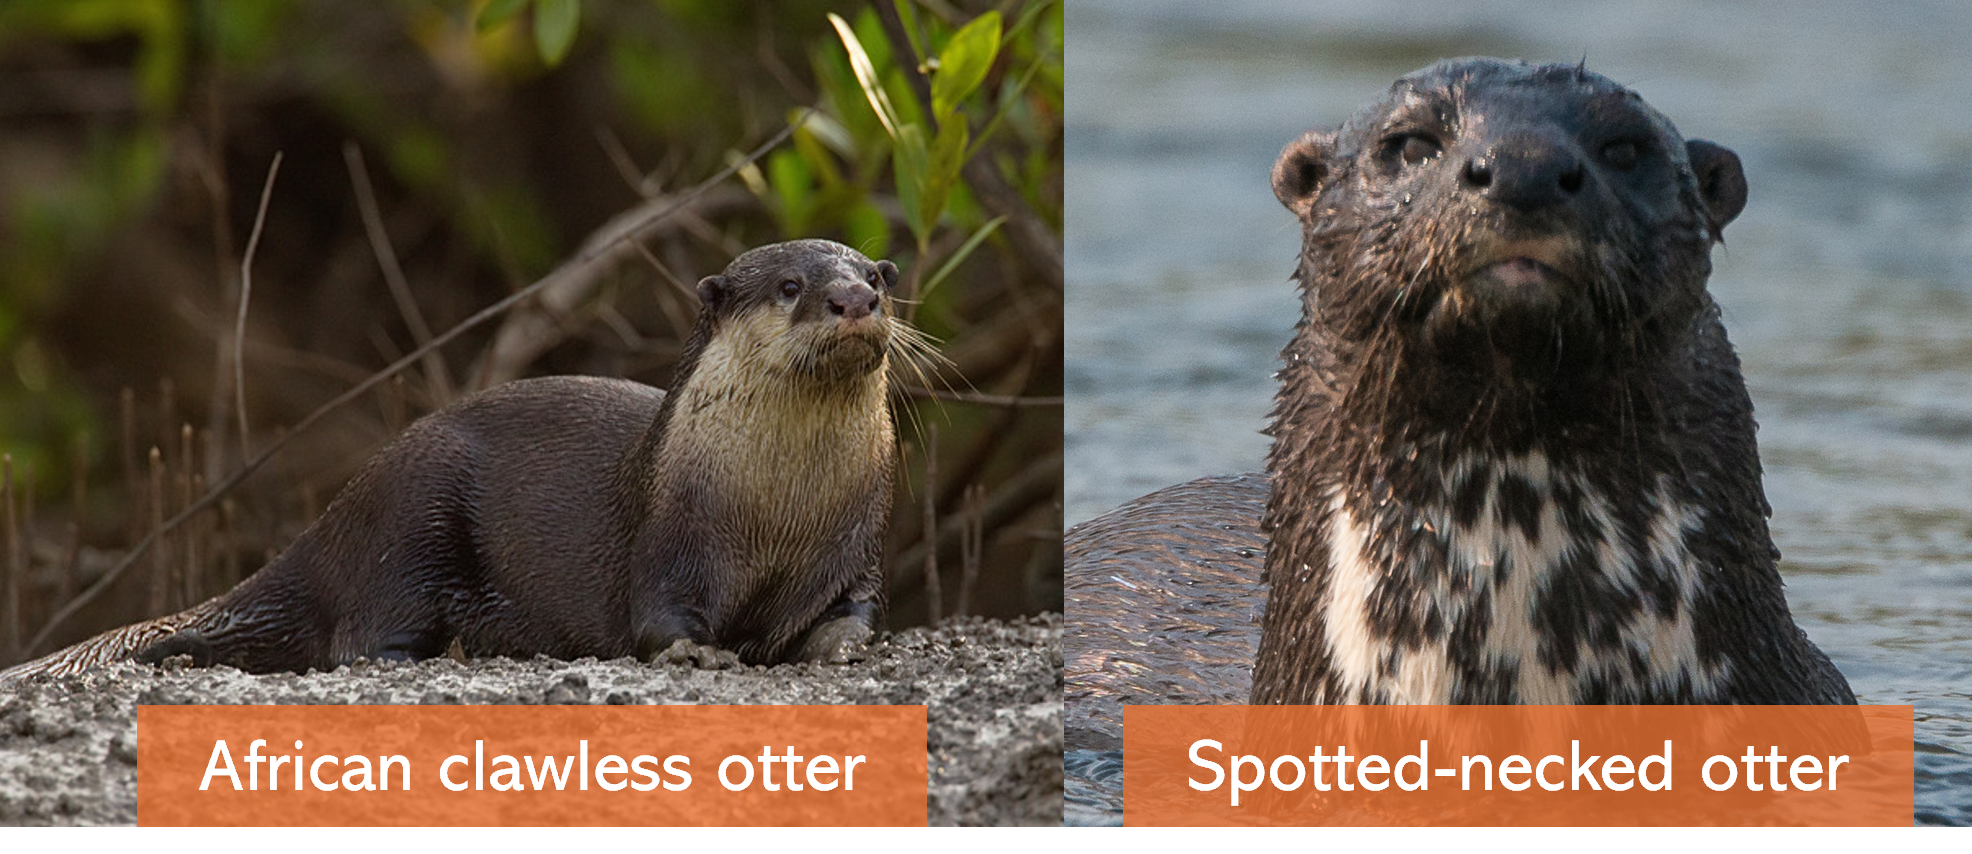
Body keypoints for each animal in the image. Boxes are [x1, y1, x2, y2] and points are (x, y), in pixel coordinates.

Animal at [4, 239, 914, 681]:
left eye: (876, 277)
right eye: (791, 286)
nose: (852, 299)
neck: (777, 512)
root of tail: (330, 524)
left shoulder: (858, 538)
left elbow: (855, 609)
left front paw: (839, 645)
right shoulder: (670, 539)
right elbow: (658, 618)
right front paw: (699, 652)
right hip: (412, 514)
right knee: (355, 637)